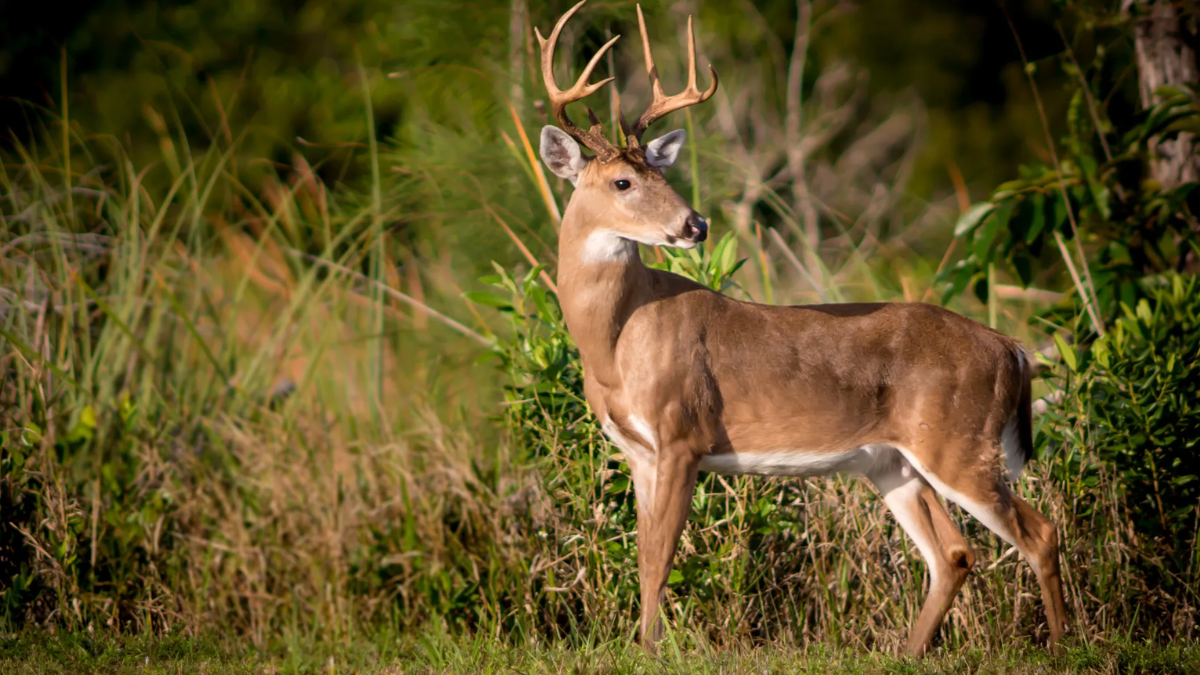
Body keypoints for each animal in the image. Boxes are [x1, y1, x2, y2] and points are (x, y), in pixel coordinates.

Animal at [535, 0, 1070, 653]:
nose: (695, 224)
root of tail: (1012, 349)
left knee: (1039, 533)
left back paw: (1068, 646)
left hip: (960, 443)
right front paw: (645, 646)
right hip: (893, 463)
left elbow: (660, 558)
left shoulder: (683, 433)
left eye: (663, 176)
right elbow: (643, 559)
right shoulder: (638, 451)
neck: (615, 342)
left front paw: (649, 652)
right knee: (954, 554)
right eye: (623, 181)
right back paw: (909, 652)